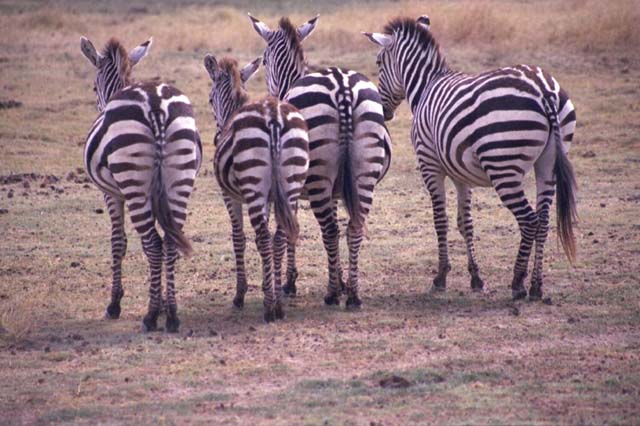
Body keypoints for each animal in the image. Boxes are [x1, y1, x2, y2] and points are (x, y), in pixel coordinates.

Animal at [80, 36, 202, 332]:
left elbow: (118, 241)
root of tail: (156, 104)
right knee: (170, 242)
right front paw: (163, 302)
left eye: (93, 87)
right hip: (180, 179)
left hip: (133, 182)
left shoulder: (111, 194)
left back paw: (151, 316)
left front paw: (114, 304)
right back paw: (172, 315)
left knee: (154, 244)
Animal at [204, 54, 310, 322]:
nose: (216, 138)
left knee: (262, 237)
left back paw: (270, 308)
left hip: (253, 189)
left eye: (209, 99)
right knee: (279, 236)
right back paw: (278, 304)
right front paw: (269, 283)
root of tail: (273, 118)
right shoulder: (274, 198)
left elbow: (238, 238)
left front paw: (240, 294)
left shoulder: (230, 197)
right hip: (289, 184)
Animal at [249, 14, 392, 309]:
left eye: (265, 61)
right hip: (363, 173)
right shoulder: (336, 190)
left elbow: (290, 229)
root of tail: (342, 87)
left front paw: (290, 282)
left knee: (330, 230)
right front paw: (342, 278)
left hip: (318, 178)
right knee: (353, 227)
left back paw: (332, 294)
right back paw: (353, 295)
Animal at [363, 16, 578, 300]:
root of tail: (544, 90)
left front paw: (441, 277)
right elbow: (465, 223)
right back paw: (536, 286)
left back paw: (518, 283)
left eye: (378, 63)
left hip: (503, 167)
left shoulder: (430, 165)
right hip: (548, 162)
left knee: (529, 221)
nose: (383, 112)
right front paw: (476, 278)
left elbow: (440, 221)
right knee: (542, 221)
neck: (426, 86)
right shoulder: (460, 173)